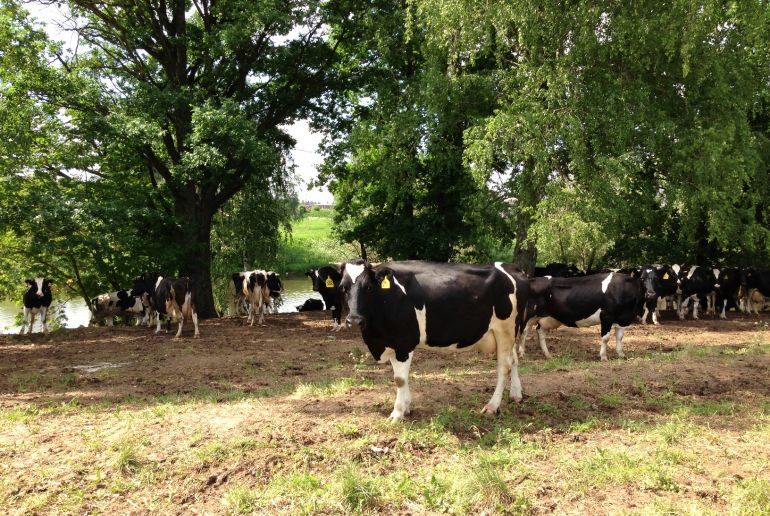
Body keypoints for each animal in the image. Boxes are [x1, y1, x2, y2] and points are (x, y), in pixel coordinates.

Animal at [340, 260, 528, 422]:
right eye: (343, 287)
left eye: (368, 287)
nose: (354, 320)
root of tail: (511, 268)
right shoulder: (392, 343)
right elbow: (401, 378)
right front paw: (406, 407)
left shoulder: (404, 342)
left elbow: (400, 379)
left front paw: (397, 413)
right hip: (508, 333)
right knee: (513, 360)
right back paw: (516, 394)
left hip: (505, 330)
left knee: (503, 367)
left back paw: (492, 406)